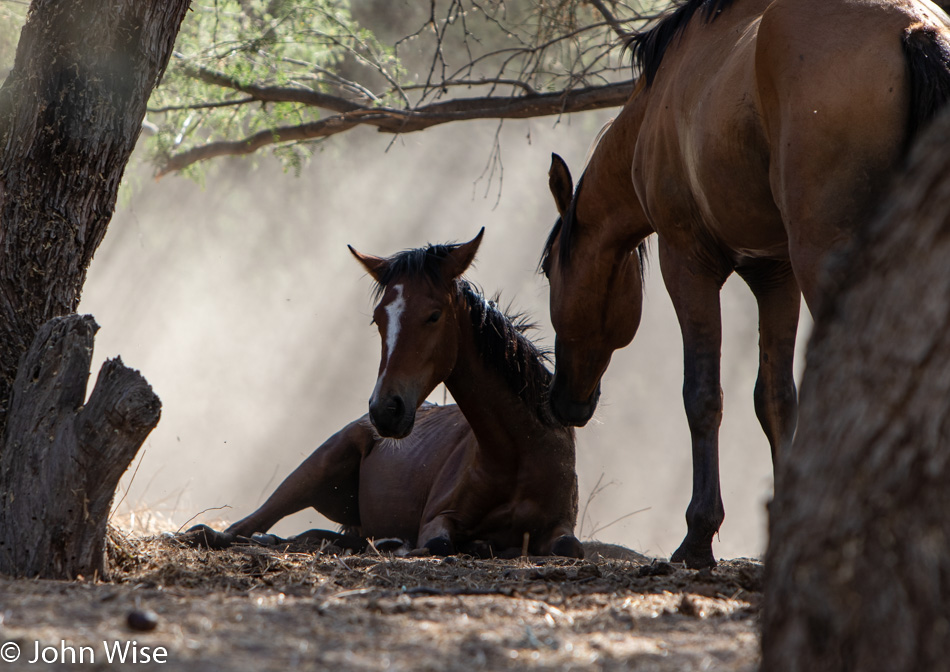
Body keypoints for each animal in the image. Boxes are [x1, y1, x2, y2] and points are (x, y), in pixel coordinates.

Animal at [190, 234, 584, 560]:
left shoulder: (560, 527)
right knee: (245, 527)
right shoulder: (438, 520)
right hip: (315, 468)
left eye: (434, 315)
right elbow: (440, 545)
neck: (518, 452)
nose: (385, 411)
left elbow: (570, 548)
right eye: (378, 320)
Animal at [540, 0, 950, 568]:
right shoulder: (775, 275)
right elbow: (776, 400)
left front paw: (697, 536)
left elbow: (702, 396)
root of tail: (915, 28)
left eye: (546, 270)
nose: (563, 402)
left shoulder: (687, 263)